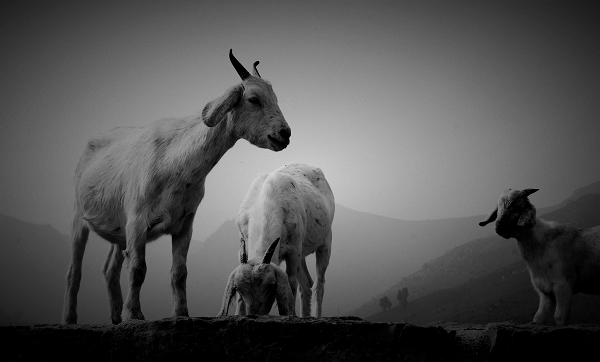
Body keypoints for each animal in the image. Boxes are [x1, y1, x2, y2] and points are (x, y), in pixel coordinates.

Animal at [62, 49, 292, 324]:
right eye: (253, 99)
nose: (285, 134)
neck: (174, 164)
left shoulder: (184, 224)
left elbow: (179, 272)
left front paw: (181, 313)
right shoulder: (137, 220)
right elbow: (138, 268)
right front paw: (134, 314)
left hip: (118, 229)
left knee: (110, 269)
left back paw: (116, 317)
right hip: (78, 215)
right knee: (74, 270)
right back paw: (70, 318)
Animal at [218, 163, 336, 316]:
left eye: (271, 285)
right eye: (238, 288)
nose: (254, 314)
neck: (267, 199)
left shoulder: (293, 252)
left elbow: (291, 283)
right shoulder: (242, 248)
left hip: (326, 241)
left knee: (318, 283)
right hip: (302, 251)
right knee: (306, 285)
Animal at [478, 188, 600, 326]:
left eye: (518, 208)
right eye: (498, 209)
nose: (499, 227)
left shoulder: (563, 287)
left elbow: (559, 318)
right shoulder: (545, 293)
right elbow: (538, 318)